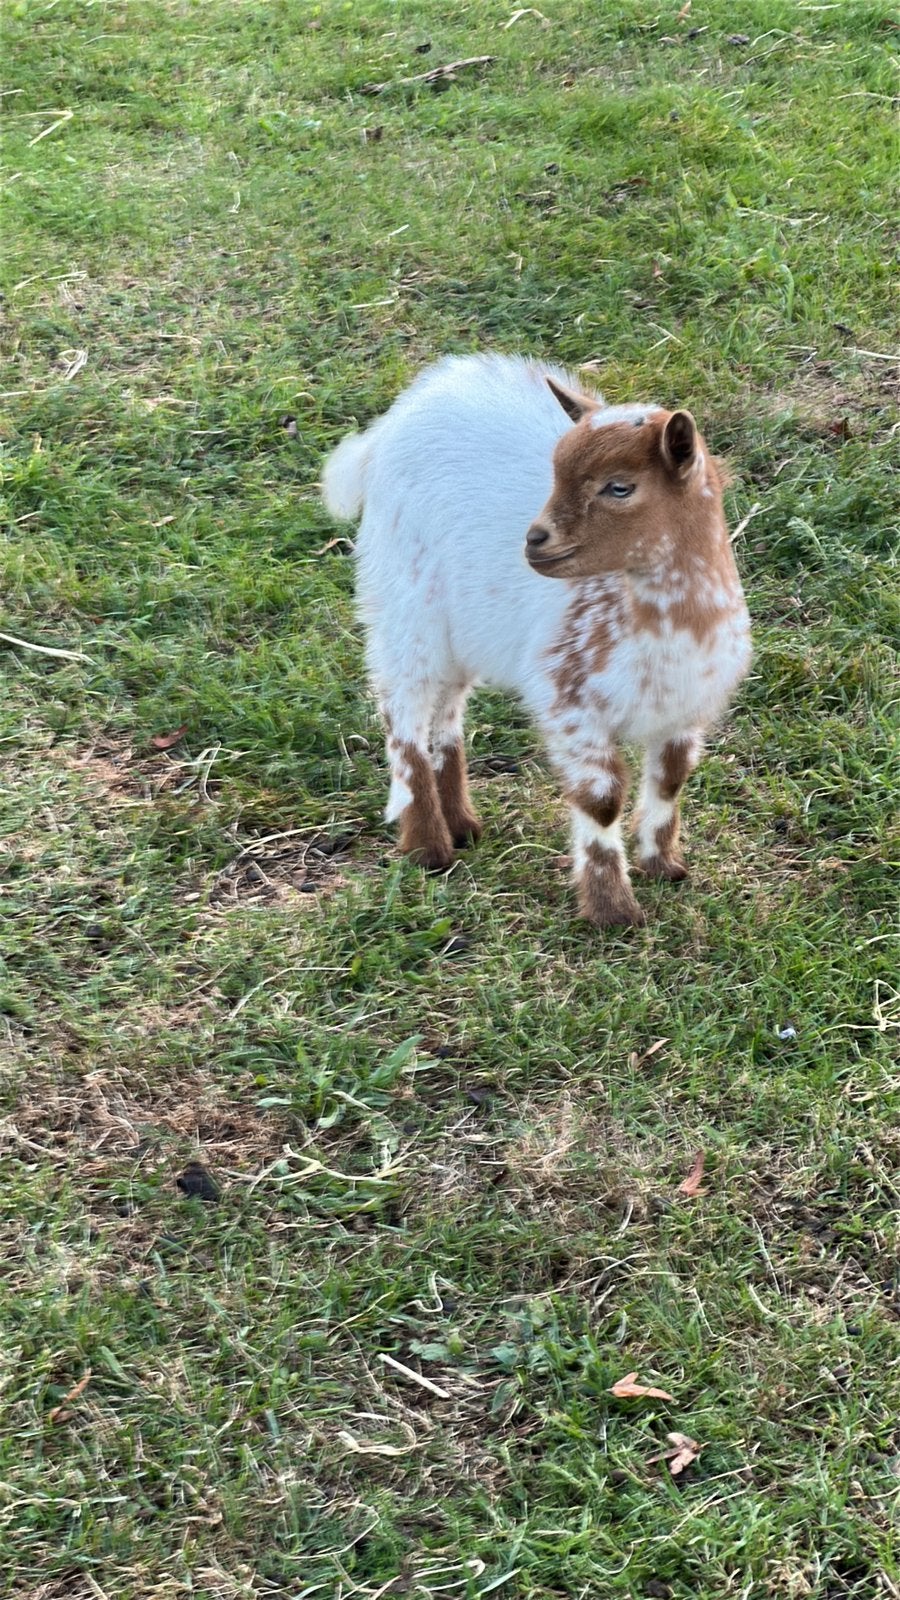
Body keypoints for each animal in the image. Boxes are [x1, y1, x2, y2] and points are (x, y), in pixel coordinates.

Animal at [322, 354, 751, 926]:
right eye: (555, 472)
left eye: (619, 487)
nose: (533, 540)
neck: (670, 625)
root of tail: (405, 411)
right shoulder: (571, 704)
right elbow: (601, 799)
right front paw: (613, 911)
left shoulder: (685, 711)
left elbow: (670, 782)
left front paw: (665, 867)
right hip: (405, 603)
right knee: (403, 710)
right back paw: (428, 849)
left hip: (464, 628)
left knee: (447, 708)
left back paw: (462, 824)